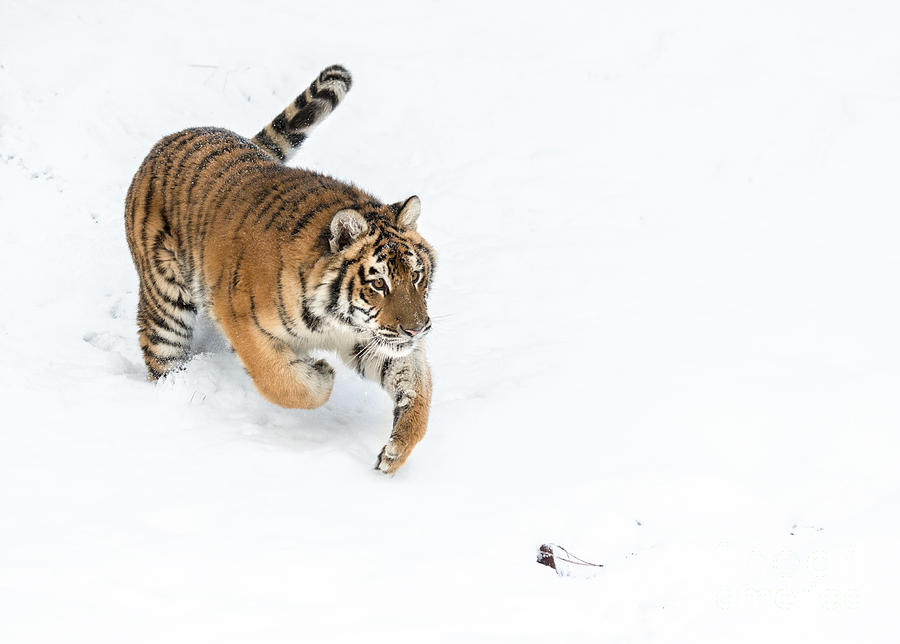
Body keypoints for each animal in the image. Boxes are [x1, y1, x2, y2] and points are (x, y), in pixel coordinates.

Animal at [125, 65, 434, 476]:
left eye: (416, 275)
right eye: (379, 283)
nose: (418, 328)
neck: (336, 320)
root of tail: (176, 137)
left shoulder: (372, 337)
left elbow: (416, 386)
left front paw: (395, 453)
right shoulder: (242, 321)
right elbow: (283, 382)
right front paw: (321, 374)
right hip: (166, 302)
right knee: (162, 356)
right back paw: (175, 396)